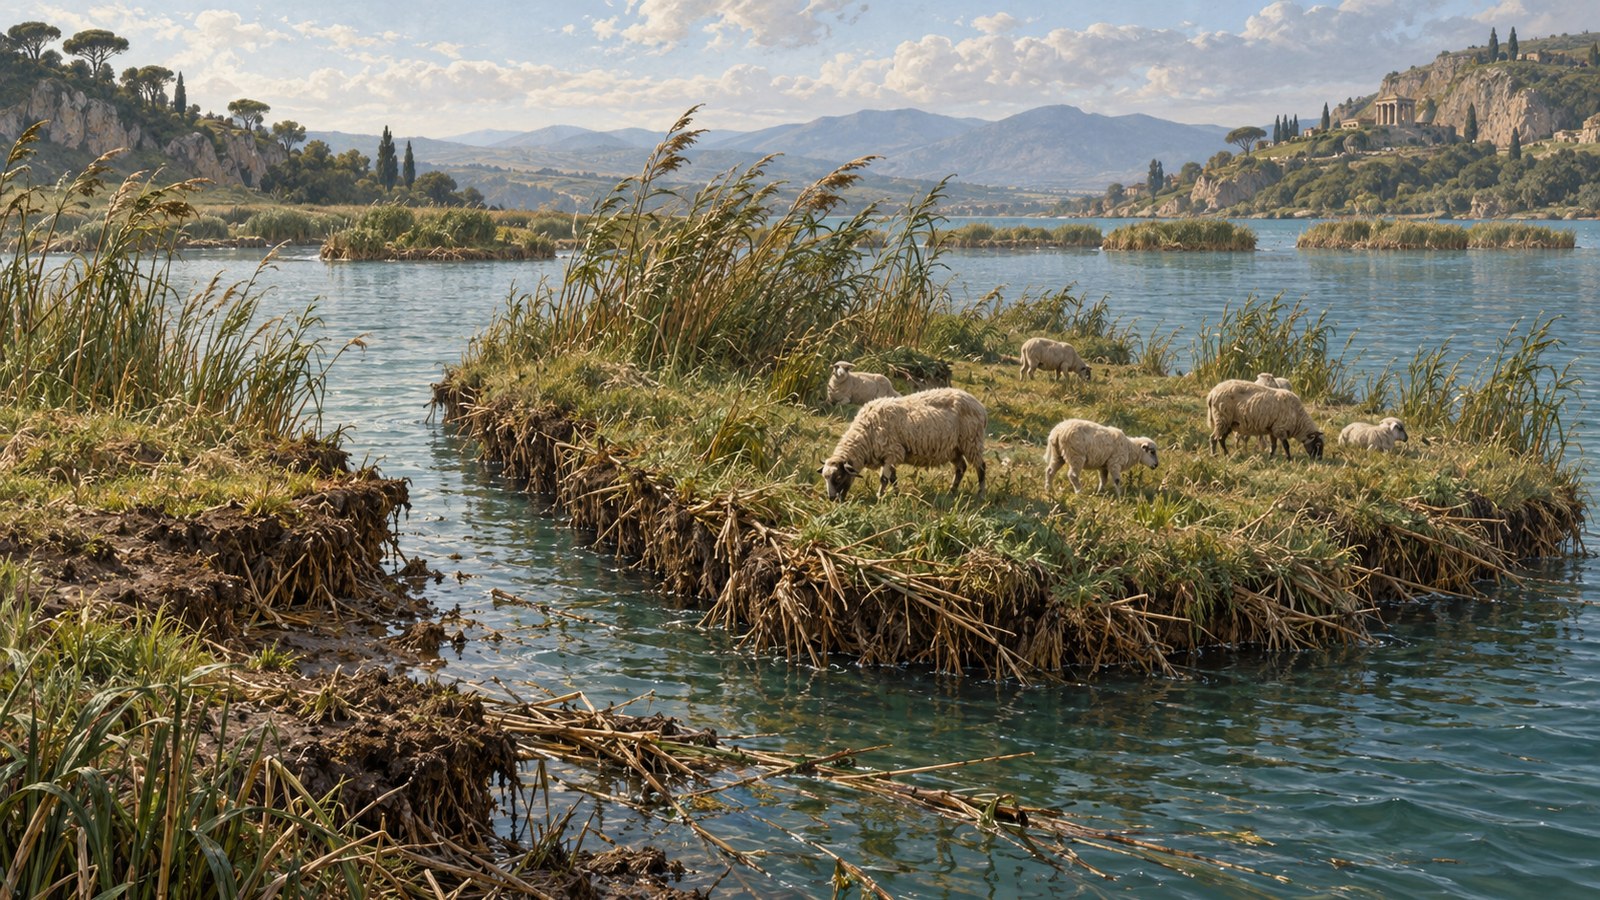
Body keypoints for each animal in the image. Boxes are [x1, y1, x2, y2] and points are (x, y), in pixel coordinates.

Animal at [819, 387, 987, 501]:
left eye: (839, 477)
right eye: (825, 477)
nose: (831, 499)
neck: (865, 434)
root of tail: (979, 405)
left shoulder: (892, 452)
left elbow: (884, 479)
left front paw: (880, 496)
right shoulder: (889, 456)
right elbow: (893, 478)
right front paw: (896, 494)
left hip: (972, 441)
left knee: (981, 467)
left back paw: (980, 494)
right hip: (954, 448)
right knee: (961, 467)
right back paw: (952, 491)